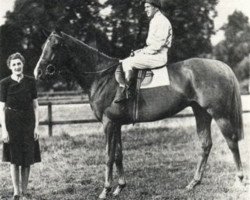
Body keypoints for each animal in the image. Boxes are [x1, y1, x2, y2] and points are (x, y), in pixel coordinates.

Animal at [33, 30, 244, 198]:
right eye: (43, 46)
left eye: (55, 46)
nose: (38, 72)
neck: (102, 77)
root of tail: (221, 66)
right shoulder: (116, 124)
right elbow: (118, 155)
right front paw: (119, 187)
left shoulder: (108, 123)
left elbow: (108, 156)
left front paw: (105, 189)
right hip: (201, 112)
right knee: (205, 144)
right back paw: (194, 183)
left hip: (220, 114)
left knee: (232, 143)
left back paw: (239, 180)